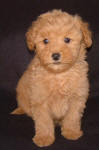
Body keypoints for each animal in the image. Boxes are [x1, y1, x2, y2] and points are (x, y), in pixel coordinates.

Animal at [11, 9, 92, 147]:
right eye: (45, 41)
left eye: (67, 39)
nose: (55, 55)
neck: (58, 75)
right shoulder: (40, 100)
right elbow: (43, 121)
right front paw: (44, 138)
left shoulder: (77, 98)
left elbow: (72, 117)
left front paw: (71, 132)